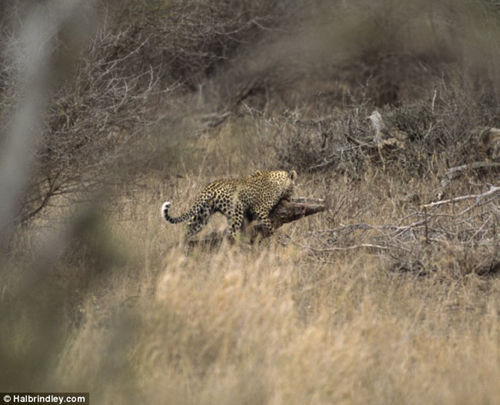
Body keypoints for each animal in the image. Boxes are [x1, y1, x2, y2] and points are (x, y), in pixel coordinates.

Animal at [162, 168, 298, 238]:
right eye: (294, 187)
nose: (292, 197)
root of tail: (210, 187)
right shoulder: (260, 209)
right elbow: (269, 226)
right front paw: (276, 237)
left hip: (202, 215)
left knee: (187, 229)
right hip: (236, 211)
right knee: (231, 234)